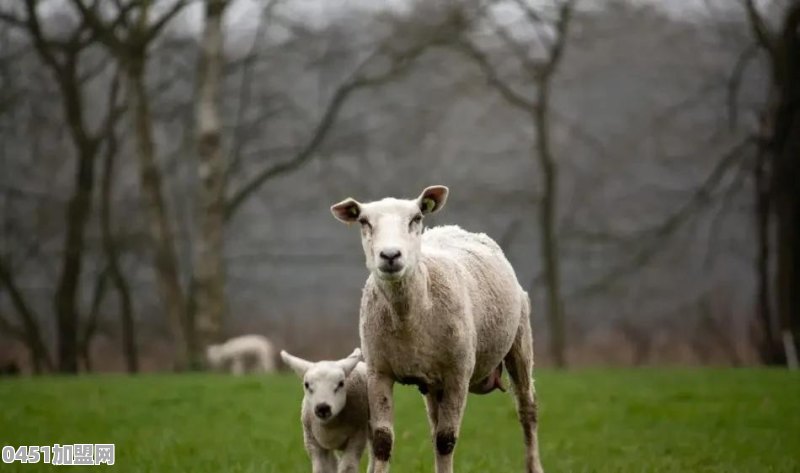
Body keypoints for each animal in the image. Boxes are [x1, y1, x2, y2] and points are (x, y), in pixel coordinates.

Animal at [332, 184, 544, 472]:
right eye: (364, 222)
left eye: (416, 218)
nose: (390, 255)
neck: (410, 317)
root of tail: (455, 228)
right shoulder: (378, 372)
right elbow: (383, 441)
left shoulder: (458, 372)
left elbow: (446, 440)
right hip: (433, 381)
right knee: (433, 427)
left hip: (519, 340)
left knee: (527, 409)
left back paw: (534, 463)